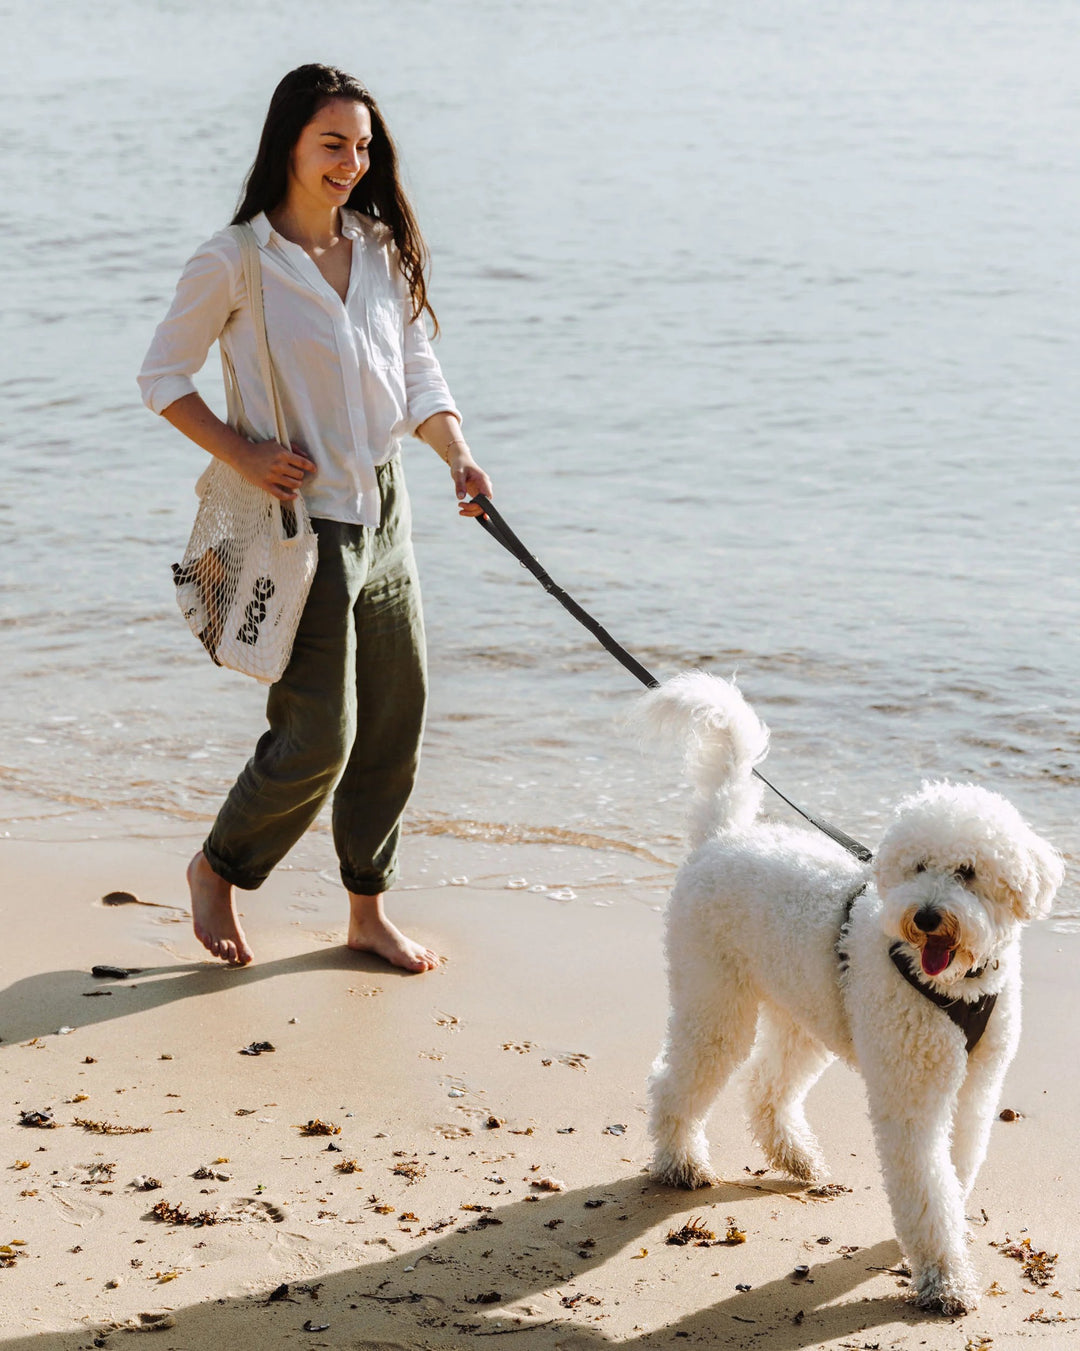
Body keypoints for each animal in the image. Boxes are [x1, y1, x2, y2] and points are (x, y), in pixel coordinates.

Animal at [643, 670, 1065, 1313]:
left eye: (967, 871)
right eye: (917, 866)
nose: (926, 916)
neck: (953, 985)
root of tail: (722, 836)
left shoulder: (975, 1087)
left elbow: (959, 1162)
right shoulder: (912, 1096)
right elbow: (926, 1185)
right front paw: (943, 1278)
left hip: (803, 1009)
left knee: (767, 1086)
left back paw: (794, 1156)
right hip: (715, 998)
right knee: (678, 1078)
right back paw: (681, 1162)